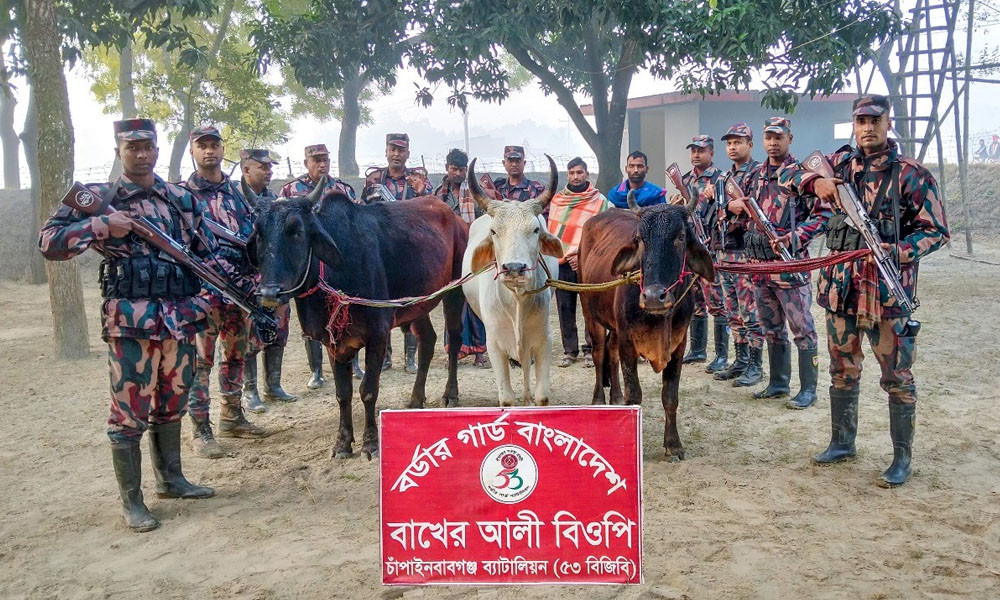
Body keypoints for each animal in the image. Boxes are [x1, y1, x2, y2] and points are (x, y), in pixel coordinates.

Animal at [250, 180, 468, 458]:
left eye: (297, 231)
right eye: (258, 233)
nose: (269, 293)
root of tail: (455, 216)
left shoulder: (378, 335)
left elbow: (368, 391)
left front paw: (370, 443)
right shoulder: (333, 343)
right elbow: (343, 393)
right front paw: (342, 443)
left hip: (454, 292)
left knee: (455, 341)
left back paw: (451, 394)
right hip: (417, 304)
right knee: (427, 341)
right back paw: (416, 399)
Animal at [460, 156, 564, 408]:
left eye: (535, 229)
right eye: (494, 231)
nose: (515, 268)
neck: (516, 301)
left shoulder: (543, 339)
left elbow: (542, 395)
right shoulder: (495, 345)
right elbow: (506, 399)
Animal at [576, 192, 716, 460]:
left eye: (680, 236)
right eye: (640, 239)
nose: (653, 297)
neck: (660, 317)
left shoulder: (679, 345)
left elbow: (670, 396)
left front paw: (673, 444)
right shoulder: (628, 342)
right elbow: (635, 394)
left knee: (611, 353)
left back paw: (615, 398)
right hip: (590, 313)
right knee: (599, 354)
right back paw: (599, 399)